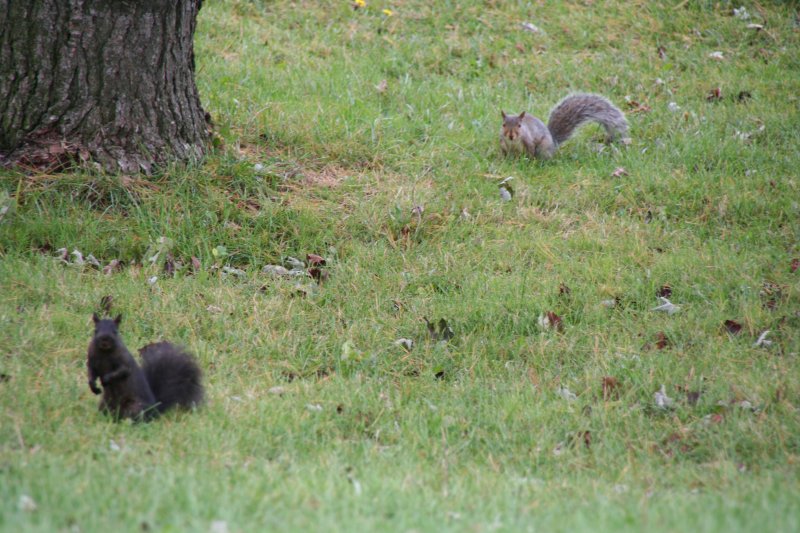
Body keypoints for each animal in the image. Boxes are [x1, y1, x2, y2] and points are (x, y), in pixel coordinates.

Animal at [500, 93, 632, 158]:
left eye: (519, 125)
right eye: (503, 125)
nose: (511, 136)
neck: (513, 142)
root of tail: (553, 144)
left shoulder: (528, 140)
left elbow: (531, 150)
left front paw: (529, 161)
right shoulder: (503, 142)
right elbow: (504, 151)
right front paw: (504, 160)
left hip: (544, 148)